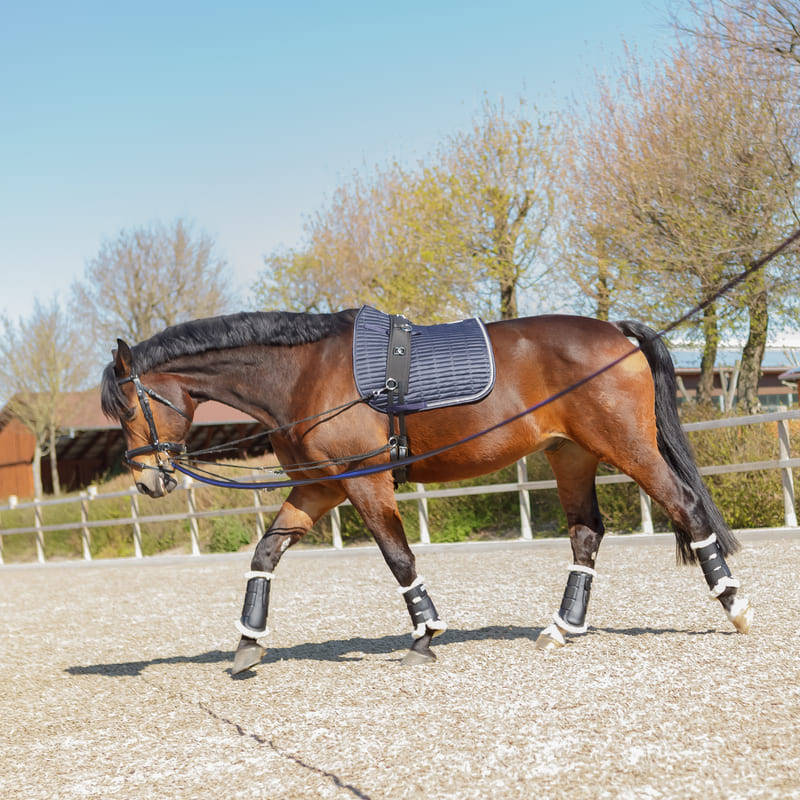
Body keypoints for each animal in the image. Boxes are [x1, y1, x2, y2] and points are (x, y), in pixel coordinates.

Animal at [98, 310, 752, 672]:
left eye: (129, 407)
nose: (147, 479)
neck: (304, 375)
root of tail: (616, 331)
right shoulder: (317, 488)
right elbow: (265, 553)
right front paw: (247, 642)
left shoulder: (362, 482)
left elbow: (398, 557)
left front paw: (425, 633)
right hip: (571, 454)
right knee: (586, 534)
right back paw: (562, 627)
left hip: (627, 448)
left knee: (685, 506)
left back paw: (735, 605)